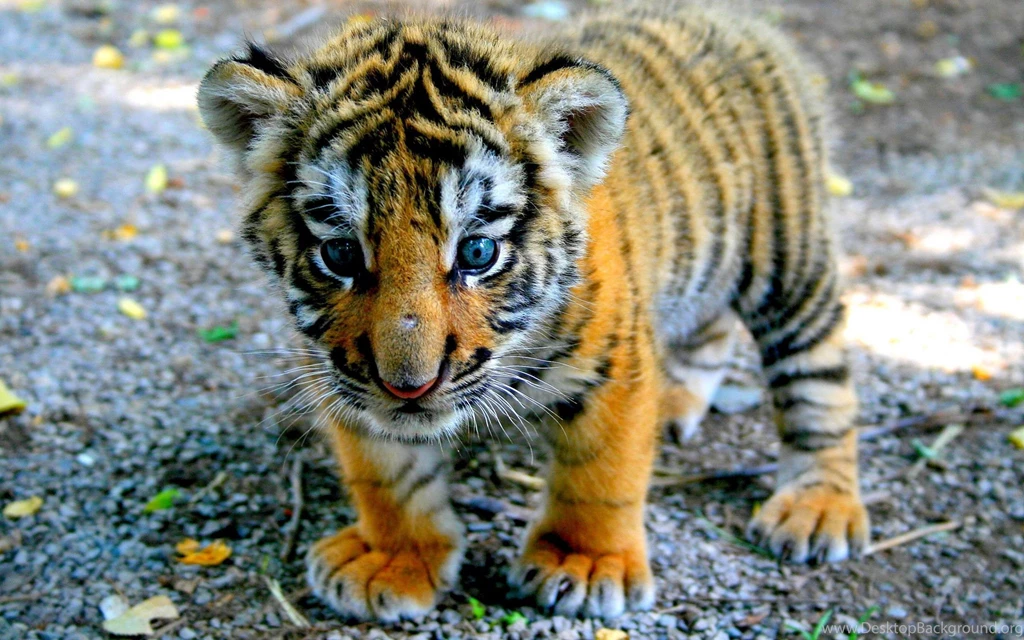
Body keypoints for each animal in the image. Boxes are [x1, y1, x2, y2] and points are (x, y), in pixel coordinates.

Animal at [197, 3, 869, 622]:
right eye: (340, 253)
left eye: (478, 252)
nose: (409, 387)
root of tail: (732, 18)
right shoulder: (341, 372)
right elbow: (386, 474)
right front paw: (394, 558)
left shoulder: (613, 363)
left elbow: (601, 473)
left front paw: (585, 563)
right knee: (710, 329)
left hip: (789, 259)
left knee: (819, 379)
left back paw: (817, 507)